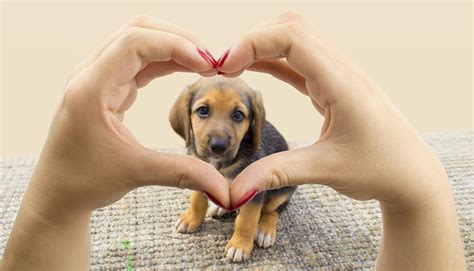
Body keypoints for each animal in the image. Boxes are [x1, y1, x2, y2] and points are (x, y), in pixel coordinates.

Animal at [170, 76, 296, 264]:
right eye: (203, 110)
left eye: (238, 115)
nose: (218, 146)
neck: (219, 163)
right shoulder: (199, 176)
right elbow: (197, 201)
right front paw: (192, 219)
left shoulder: (253, 192)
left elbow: (246, 221)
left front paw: (239, 246)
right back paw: (218, 207)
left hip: (282, 190)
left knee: (273, 210)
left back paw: (265, 230)